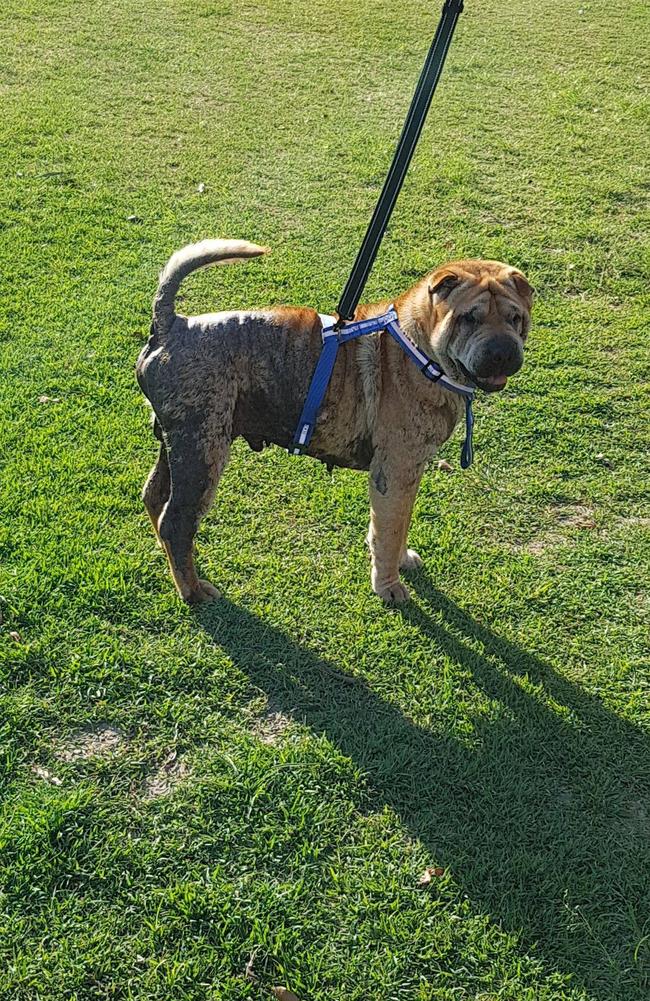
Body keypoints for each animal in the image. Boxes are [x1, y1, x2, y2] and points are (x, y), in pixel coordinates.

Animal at [137, 241, 532, 600]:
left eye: (516, 318)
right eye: (469, 318)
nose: (502, 352)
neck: (421, 350)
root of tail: (171, 325)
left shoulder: (409, 471)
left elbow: (400, 523)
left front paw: (402, 559)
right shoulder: (394, 470)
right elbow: (388, 531)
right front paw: (389, 587)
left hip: (178, 445)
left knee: (155, 497)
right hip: (203, 451)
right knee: (177, 521)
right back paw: (192, 590)